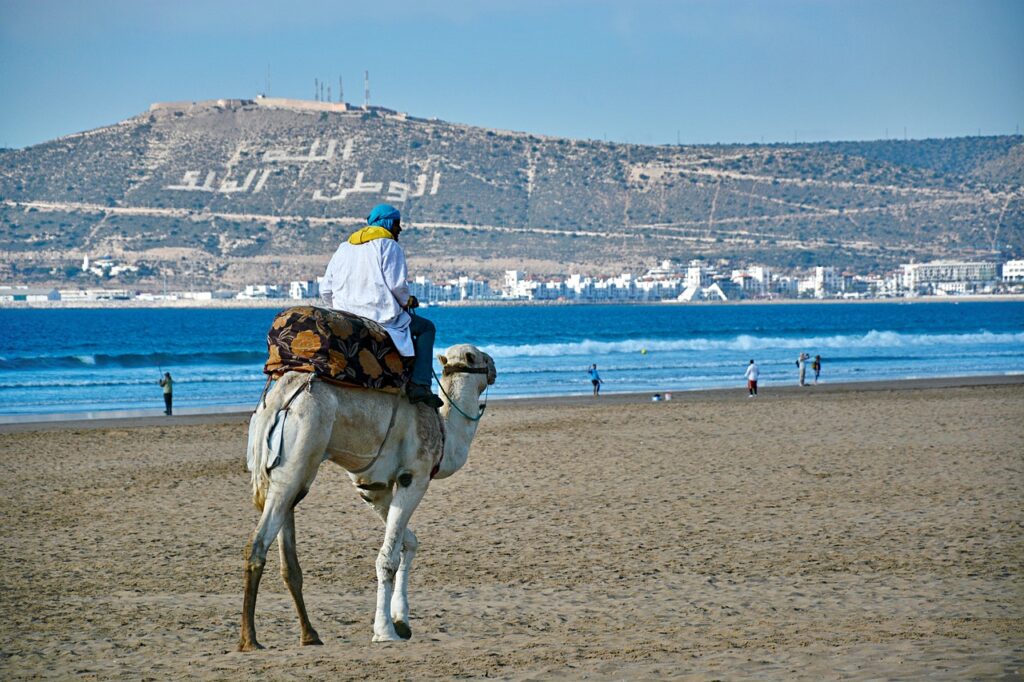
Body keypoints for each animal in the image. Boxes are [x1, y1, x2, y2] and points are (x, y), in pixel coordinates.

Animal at [239, 342, 495, 647]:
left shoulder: (373, 487)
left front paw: (401, 621)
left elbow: (409, 543)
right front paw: (385, 631)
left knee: (286, 556)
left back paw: (309, 634)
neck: (444, 433)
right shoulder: (414, 476)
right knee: (258, 542)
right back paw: (250, 640)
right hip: (299, 456)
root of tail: (280, 399)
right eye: (478, 357)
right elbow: (387, 558)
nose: (493, 366)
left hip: (281, 469)